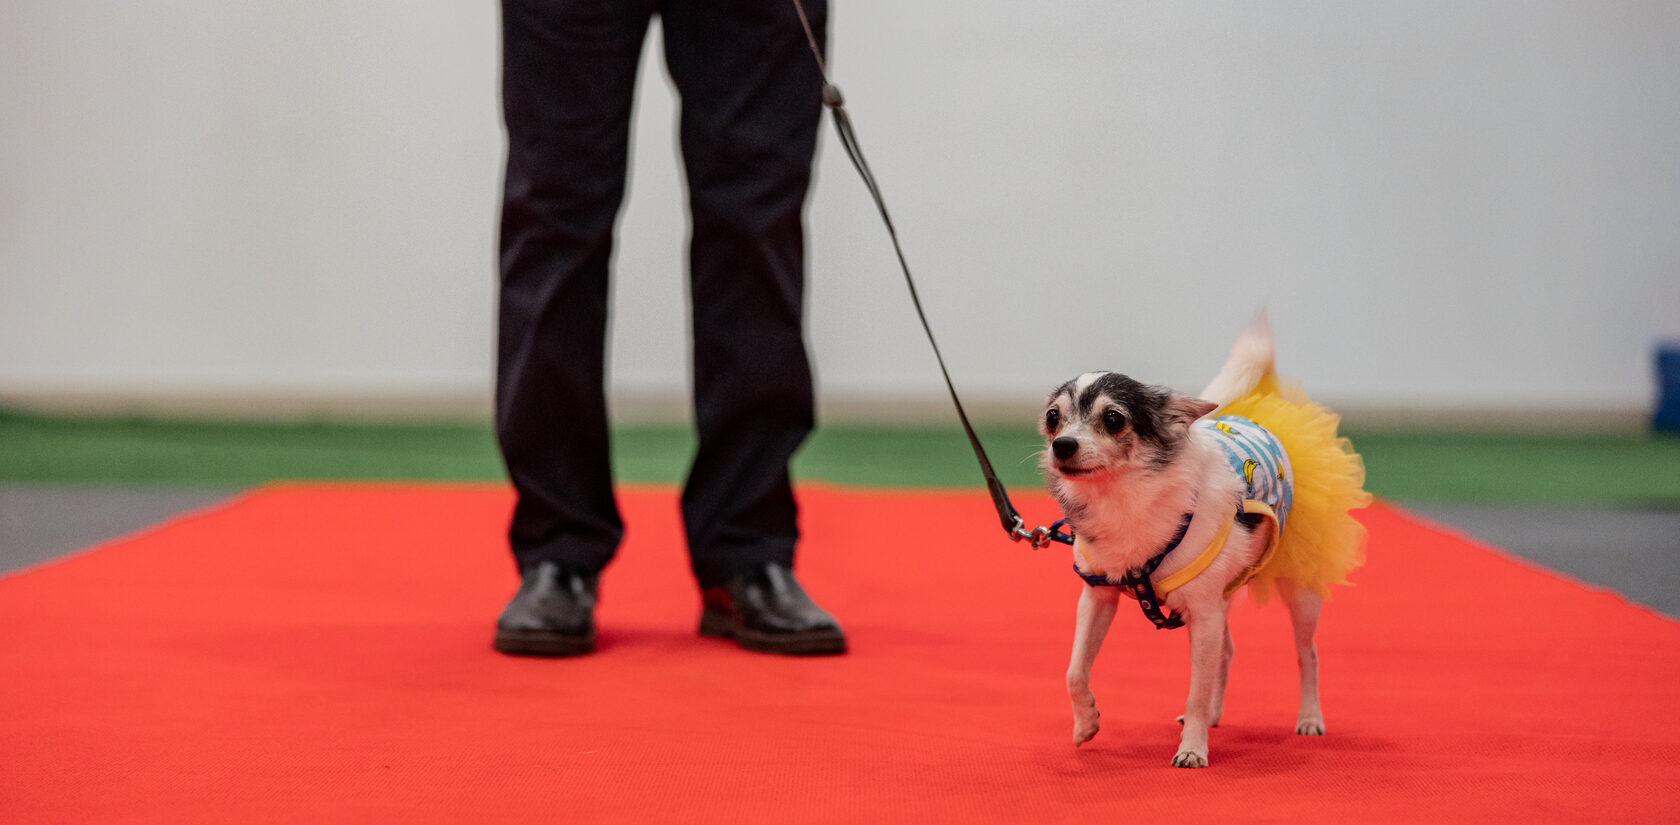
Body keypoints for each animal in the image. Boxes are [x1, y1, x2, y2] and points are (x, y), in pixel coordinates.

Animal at [1041, 315, 1370, 769]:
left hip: (1296, 590)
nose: (1062, 444)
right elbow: (1074, 671)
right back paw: (1216, 715)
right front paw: (1086, 722)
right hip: (1221, 596)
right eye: (1053, 417)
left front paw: (1193, 750)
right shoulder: (1098, 596)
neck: (1124, 498)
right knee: (1225, 652)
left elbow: (1194, 691)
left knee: (1307, 654)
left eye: (1113, 419)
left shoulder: (1202, 612)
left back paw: (1308, 718)